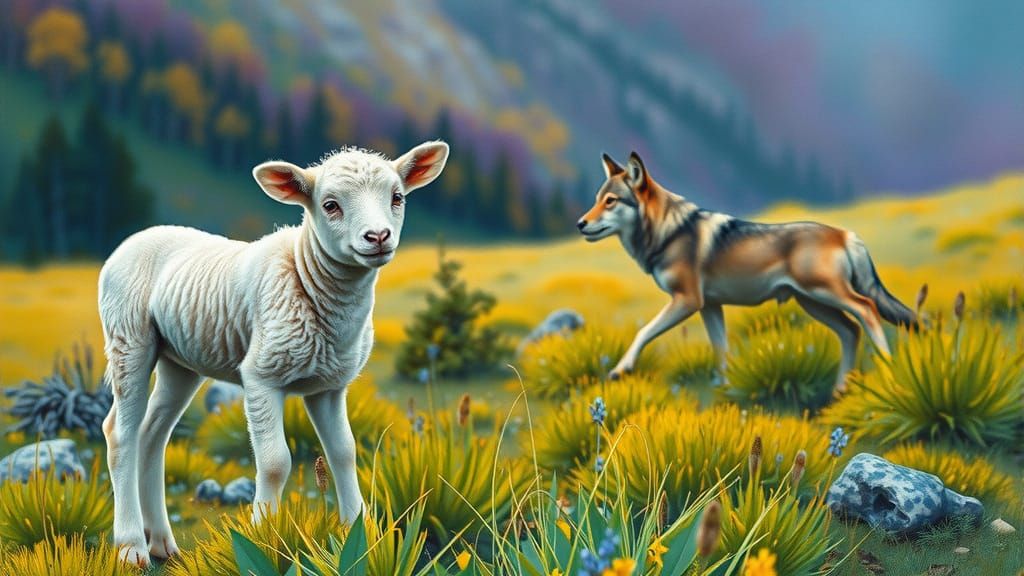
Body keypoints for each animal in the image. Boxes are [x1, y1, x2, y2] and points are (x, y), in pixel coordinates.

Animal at [98, 141, 449, 567]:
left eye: (397, 197)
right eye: (330, 205)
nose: (378, 236)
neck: (306, 275)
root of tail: (130, 242)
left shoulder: (329, 387)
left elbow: (344, 453)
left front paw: (359, 536)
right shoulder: (261, 376)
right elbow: (275, 462)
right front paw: (262, 536)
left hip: (178, 361)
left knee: (152, 432)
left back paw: (163, 544)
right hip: (128, 338)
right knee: (121, 433)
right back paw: (131, 547)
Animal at [576, 151, 915, 391]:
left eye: (611, 201)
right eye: (596, 200)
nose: (580, 223)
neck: (668, 232)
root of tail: (846, 234)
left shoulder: (687, 301)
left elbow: (643, 332)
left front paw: (620, 369)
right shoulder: (710, 306)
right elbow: (722, 354)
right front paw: (727, 399)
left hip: (826, 295)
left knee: (868, 310)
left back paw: (887, 373)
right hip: (813, 303)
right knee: (851, 331)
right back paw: (839, 391)